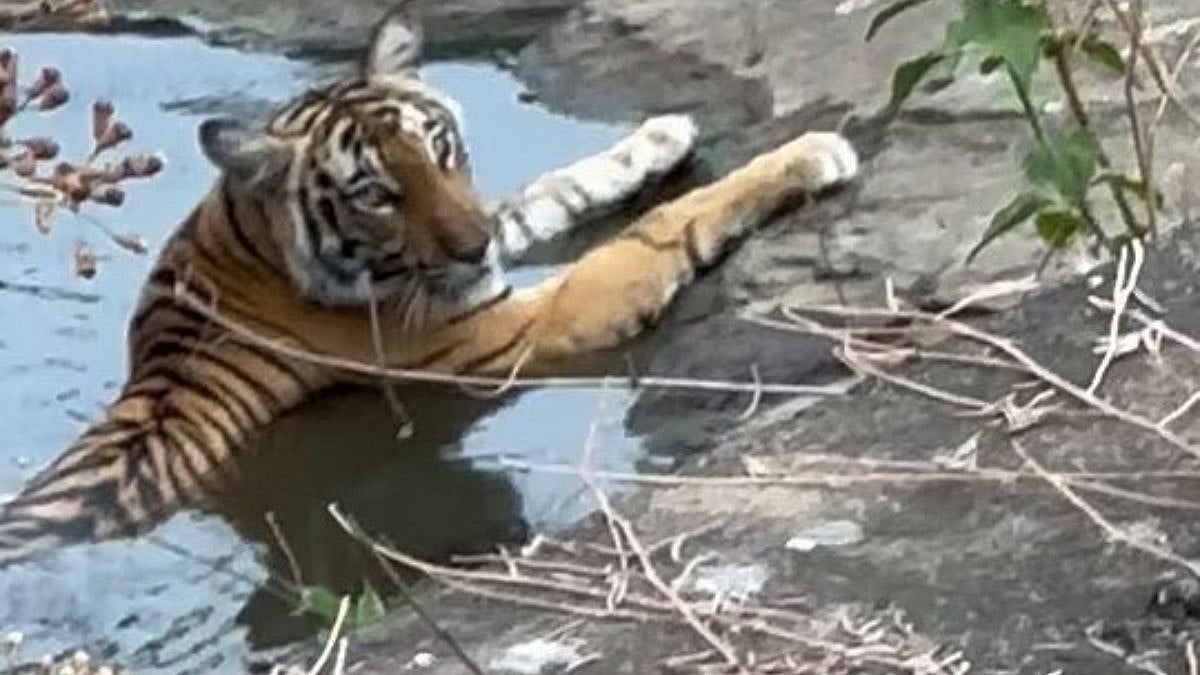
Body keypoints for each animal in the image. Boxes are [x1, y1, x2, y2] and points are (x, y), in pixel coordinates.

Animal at [0, 8, 859, 567]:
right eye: (375, 193)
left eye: (440, 149)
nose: (471, 244)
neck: (247, 236)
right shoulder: (525, 319)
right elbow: (659, 228)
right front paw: (809, 152)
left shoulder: (470, 261)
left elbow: (546, 192)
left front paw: (657, 136)